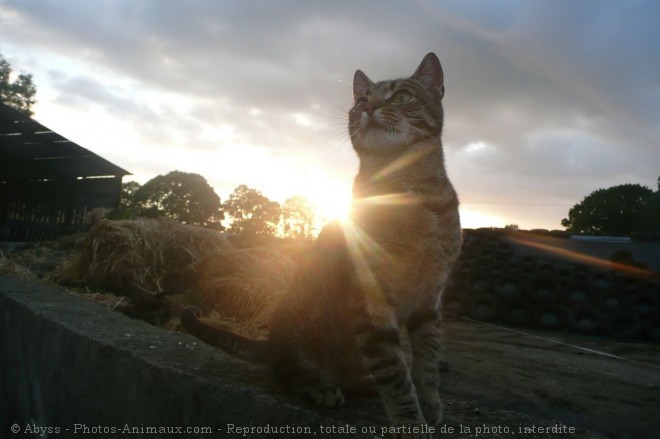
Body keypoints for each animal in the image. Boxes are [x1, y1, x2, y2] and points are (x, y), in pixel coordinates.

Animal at [179, 52, 458, 436]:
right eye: (361, 99)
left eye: (402, 96)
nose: (369, 107)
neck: (407, 195)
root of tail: (269, 344)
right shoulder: (370, 300)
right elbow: (397, 378)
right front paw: (410, 422)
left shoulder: (430, 297)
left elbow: (426, 363)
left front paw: (430, 405)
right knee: (284, 374)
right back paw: (320, 386)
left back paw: (364, 383)